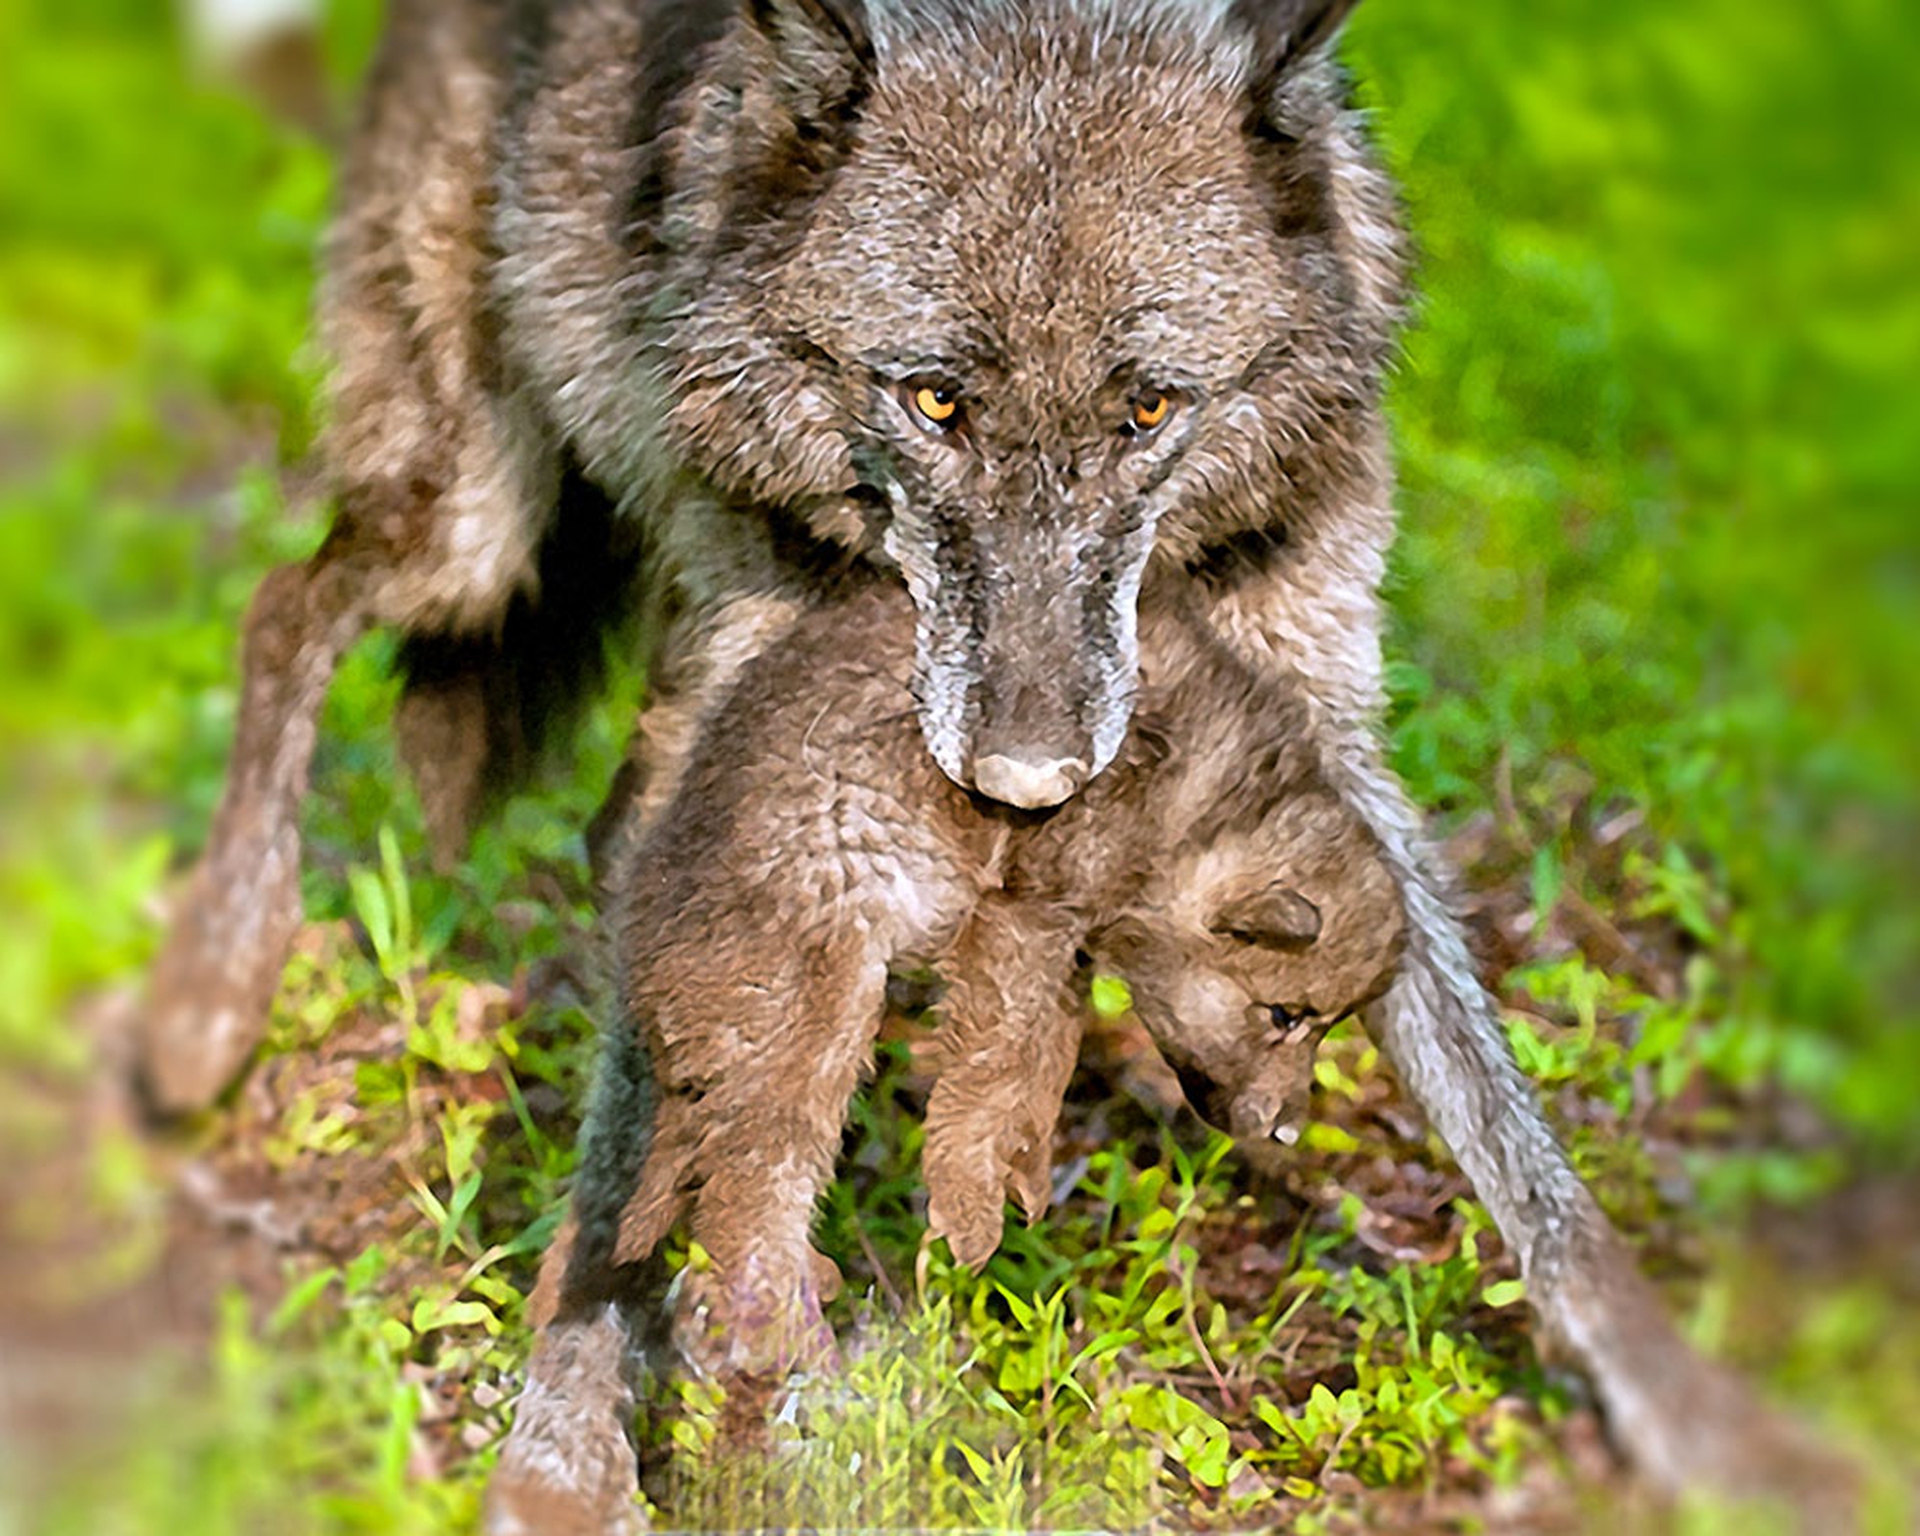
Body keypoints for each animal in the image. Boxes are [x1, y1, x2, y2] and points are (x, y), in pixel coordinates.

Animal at [142, 0, 1850, 1520]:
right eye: (935, 399)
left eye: (1151, 406)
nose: (1026, 781)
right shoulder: (748, 743)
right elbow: (632, 1148)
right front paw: (564, 1439)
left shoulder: (1314, 729)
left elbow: (1513, 1136)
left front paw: (1699, 1421)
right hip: (473, 530)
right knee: (287, 608)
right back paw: (209, 993)